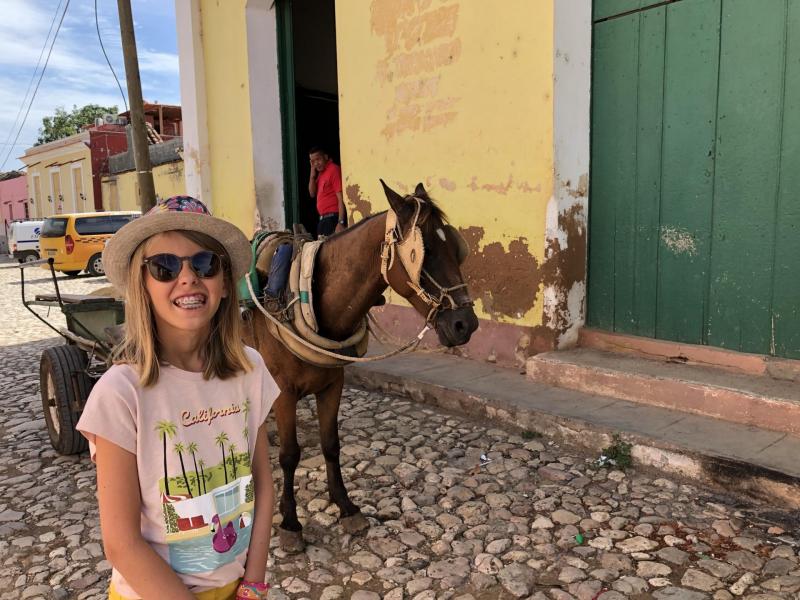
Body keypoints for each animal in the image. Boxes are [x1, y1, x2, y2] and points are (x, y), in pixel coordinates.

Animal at [241, 180, 478, 552]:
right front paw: (291, 522)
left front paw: (345, 506)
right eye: (423, 255)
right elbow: (291, 455)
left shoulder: (332, 385)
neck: (307, 298)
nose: (465, 325)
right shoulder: (284, 394)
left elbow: (331, 445)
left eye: (456, 249)